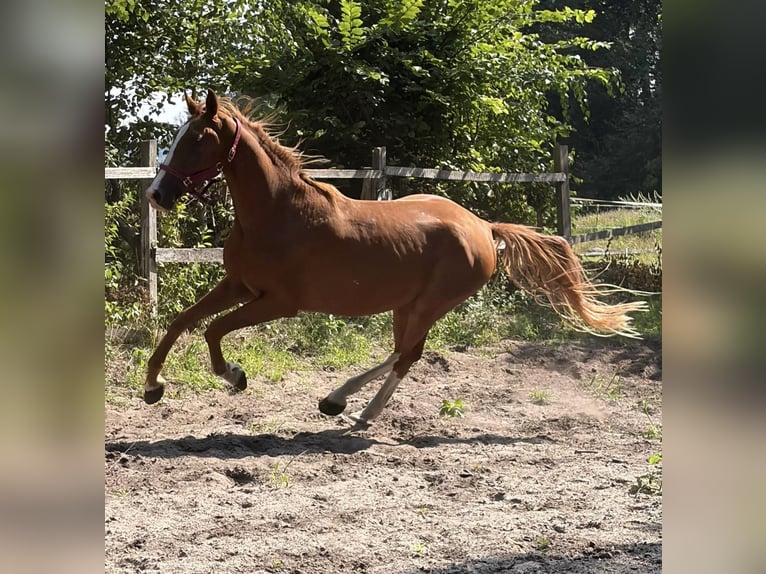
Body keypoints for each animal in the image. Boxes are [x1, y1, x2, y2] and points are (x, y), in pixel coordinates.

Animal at [143, 89, 645, 424]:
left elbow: (212, 330)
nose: (156, 195)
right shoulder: (238, 285)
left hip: (430, 304)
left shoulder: (278, 302)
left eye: (197, 139)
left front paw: (234, 376)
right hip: (408, 305)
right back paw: (339, 401)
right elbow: (181, 321)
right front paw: (153, 387)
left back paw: (357, 410)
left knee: (407, 355)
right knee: (406, 351)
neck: (277, 212)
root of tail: (484, 228)